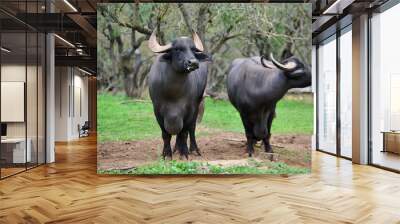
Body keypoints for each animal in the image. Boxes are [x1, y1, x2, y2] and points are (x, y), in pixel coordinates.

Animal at [147, 30, 209, 159]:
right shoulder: (157, 110)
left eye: (193, 49)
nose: (193, 63)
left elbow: (184, 133)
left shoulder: (189, 110)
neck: (173, 93)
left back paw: (193, 149)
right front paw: (166, 154)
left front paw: (184, 154)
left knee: (191, 129)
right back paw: (176, 149)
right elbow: (165, 134)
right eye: (177, 49)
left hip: (198, 105)